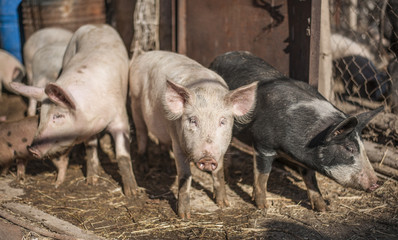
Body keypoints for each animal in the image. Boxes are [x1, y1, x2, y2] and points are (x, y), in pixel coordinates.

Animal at [11, 23, 138, 197]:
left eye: (58, 116)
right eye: (41, 116)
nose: (32, 149)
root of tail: (96, 25)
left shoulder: (120, 117)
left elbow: (122, 155)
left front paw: (133, 193)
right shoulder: (89, 130)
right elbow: (90, 148)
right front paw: (91, 182)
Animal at [129, 49, 256, 219]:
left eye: (222, 121)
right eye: (193, 120)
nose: (207, 158)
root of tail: (144, 54)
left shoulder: (220, 148)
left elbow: (219, 173)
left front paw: (224, 204)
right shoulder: (177, 140)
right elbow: (184, 175)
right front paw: (184, 216)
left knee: (161, 141)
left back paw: (166, 166)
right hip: (135, 101)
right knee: (141, 134)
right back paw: (143, 168)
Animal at [211, 51, 382, 212]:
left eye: (362, 146)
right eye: (349, 148)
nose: (376, 183)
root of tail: (219, 58)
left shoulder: (305, 160)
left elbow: (311, 180)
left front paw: (323, 209)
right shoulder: (263, 144)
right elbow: (263, 176)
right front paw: (264, 206)